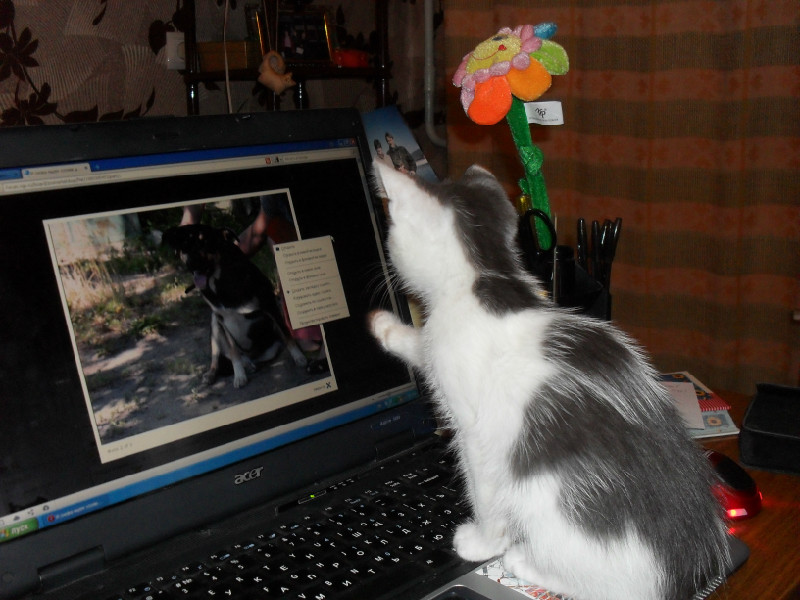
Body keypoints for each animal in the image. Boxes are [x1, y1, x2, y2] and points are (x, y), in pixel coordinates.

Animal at [163, 224, 308, 388]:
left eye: (206, 242)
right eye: (185, 245)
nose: (193, 263)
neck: (220, 281)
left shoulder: (270, 305)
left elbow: (287, 334)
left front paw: (299, 357)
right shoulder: (222, 321)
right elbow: (233, 352)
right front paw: (239, 376)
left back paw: (250, 364)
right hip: (214, 327)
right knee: (217, 359)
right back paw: (216, 373)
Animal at [368, 162, 731, 600]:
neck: (485, 277)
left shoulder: (477, 432)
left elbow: (483, 490)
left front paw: (482, 542)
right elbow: (420, 346)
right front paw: (386, 327)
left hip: (548, 502)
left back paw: (523, 562)